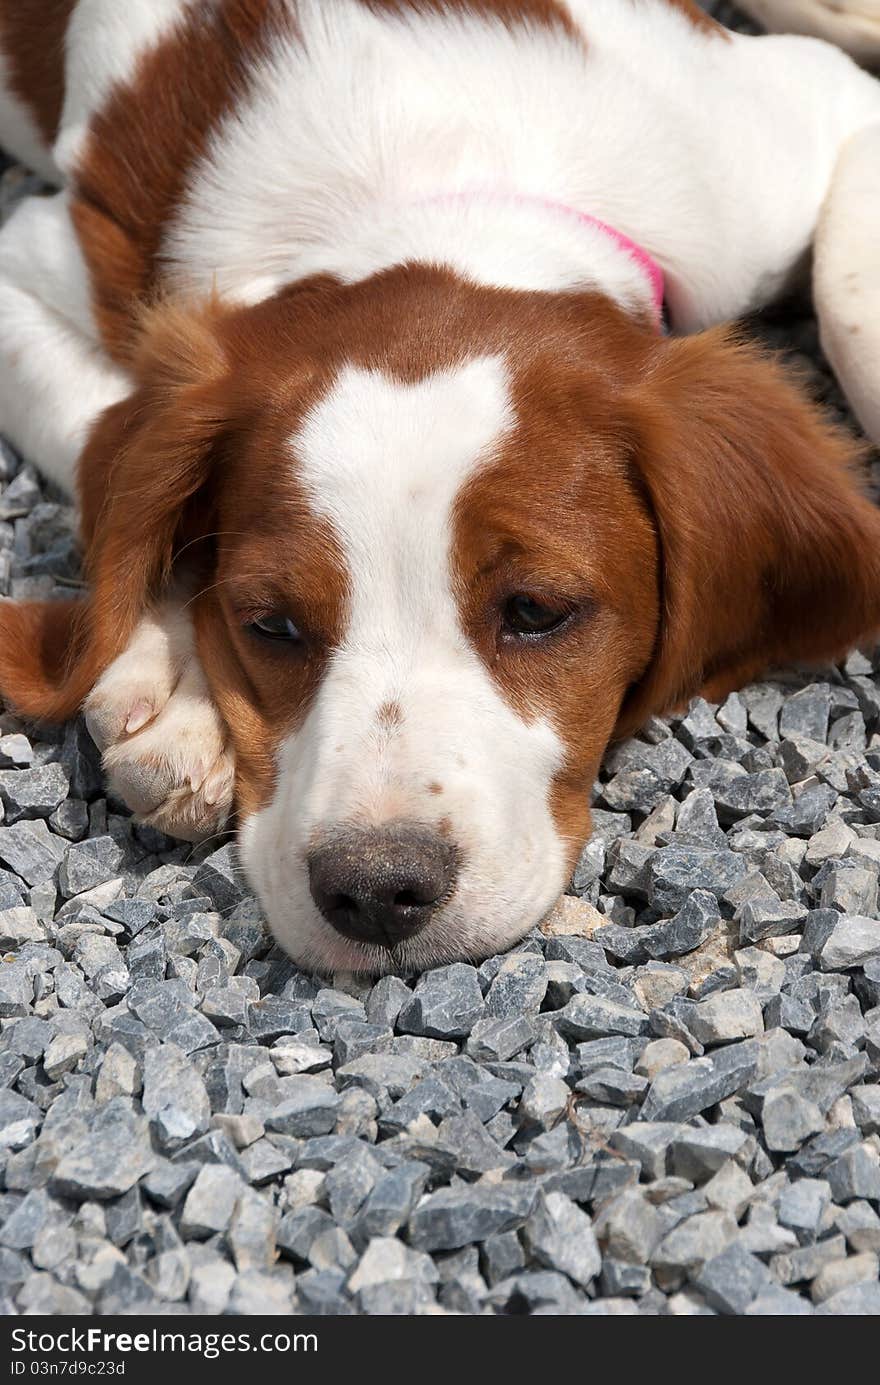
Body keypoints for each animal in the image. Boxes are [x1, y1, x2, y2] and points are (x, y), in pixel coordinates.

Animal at [1, 0, 880, 975]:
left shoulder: (798, 126)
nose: (377, 890)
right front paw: (177, 677)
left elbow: (850, 308)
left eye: (535, 610)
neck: (436, 174)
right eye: (270, 624)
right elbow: (98, 436)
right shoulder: (38, 259)